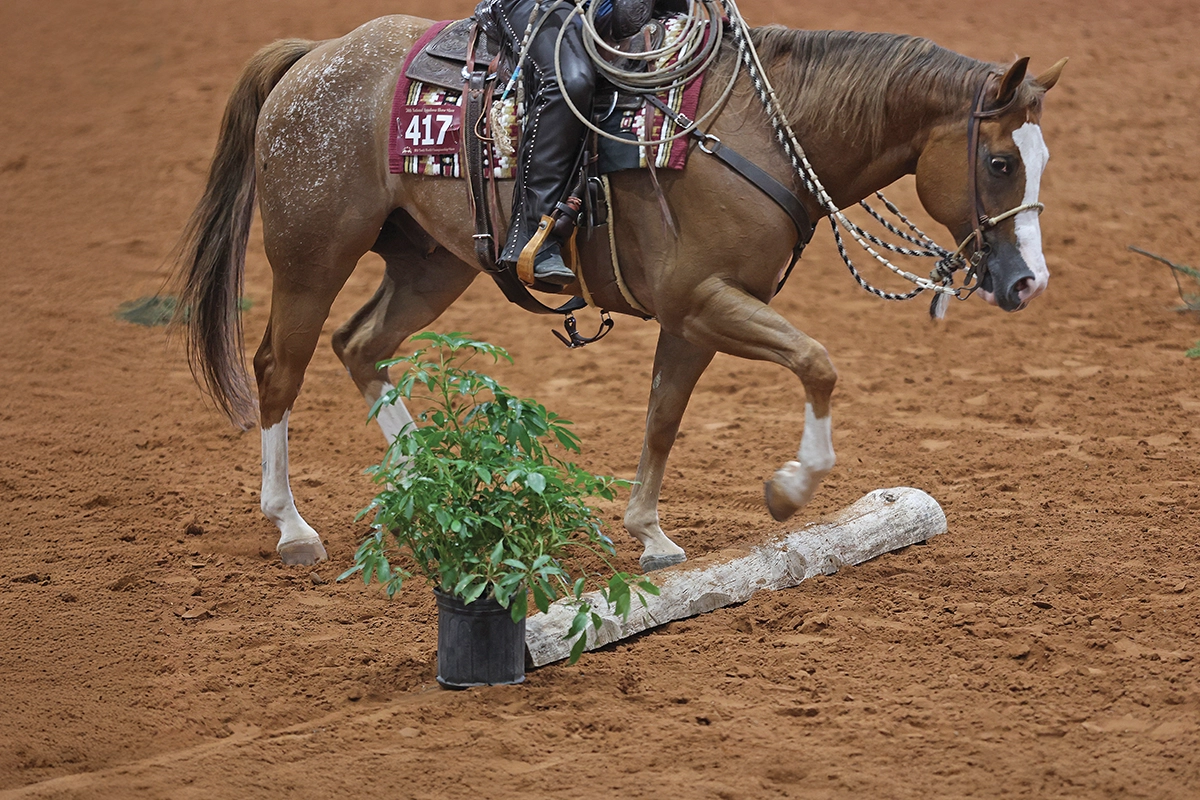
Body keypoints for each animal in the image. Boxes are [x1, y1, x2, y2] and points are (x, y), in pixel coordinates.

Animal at [171, 13, 1065, 569]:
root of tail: (315, 56)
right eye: (998, 162)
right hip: (310, 255)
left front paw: (651, 536)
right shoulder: (703, 300)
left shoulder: (695, 319)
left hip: (432, 262)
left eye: (1040, 159)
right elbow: (818, 363)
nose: (1029, 282)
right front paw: (787, 490)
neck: (755, 134)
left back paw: (428, 483)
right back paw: (292, 527)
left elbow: (663, 417)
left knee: (361, 345)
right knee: (279, 370)